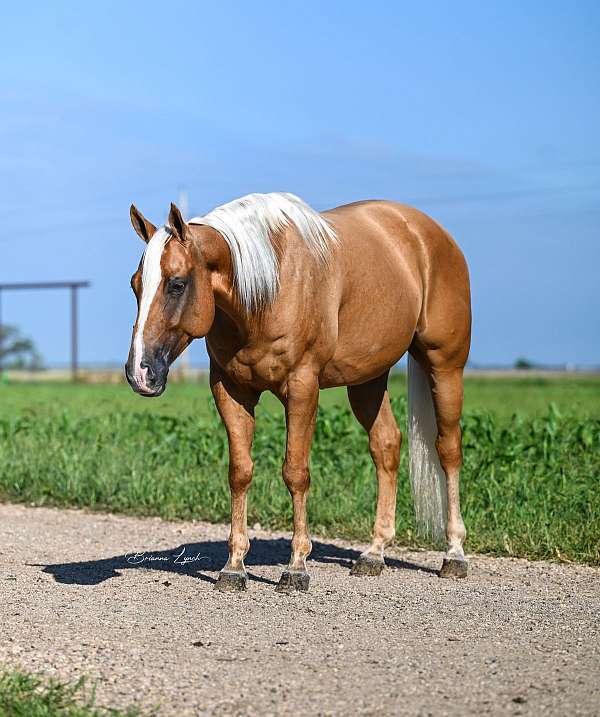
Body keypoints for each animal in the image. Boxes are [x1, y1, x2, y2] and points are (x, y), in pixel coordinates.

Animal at [126, 192, 472, 592]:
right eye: (135, 285)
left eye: (177, 284)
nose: (139, 372)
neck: (265, 289)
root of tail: (430, 233)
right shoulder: (230, 390)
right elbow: (239, 472)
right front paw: (234, 567)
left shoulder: (303, 388)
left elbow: (295, 472)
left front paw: (296, 568)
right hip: (368, 379)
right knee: (386, 445)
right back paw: (374, 552)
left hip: (444, 366)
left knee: (448, 449)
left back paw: (454, 554)